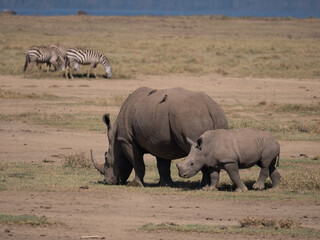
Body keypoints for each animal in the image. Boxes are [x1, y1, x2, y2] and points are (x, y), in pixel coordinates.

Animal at [91, 86, 229, 188]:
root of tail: (210, 108)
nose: (107, 181)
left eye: (107, 160)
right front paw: (165, 184)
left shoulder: (127, 141)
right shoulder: (160, 142)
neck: (115, 140)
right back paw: (206, 186)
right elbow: (163, 164)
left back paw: (203, 187)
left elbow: (137, 162)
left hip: (191, 116)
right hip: (218, 116)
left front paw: (135, 184)